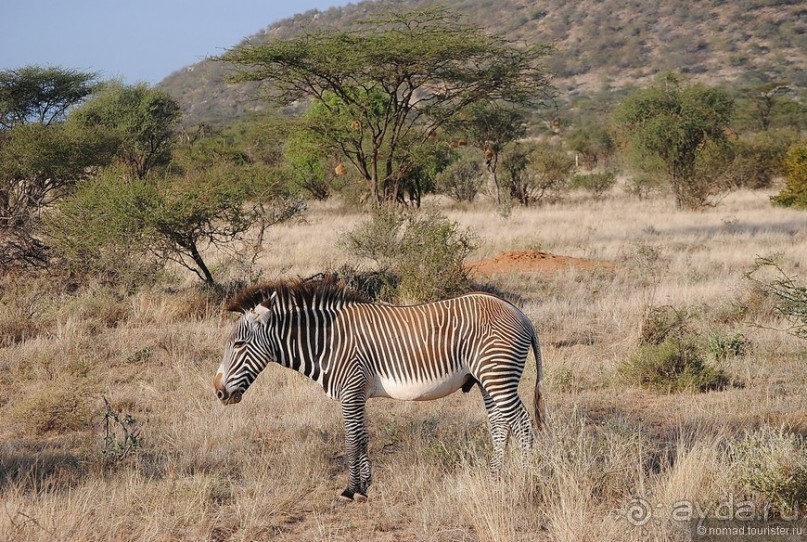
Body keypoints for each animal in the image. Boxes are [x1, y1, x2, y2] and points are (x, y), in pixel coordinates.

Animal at [213, 278, 544, 504]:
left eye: (239, 344)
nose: (218, 392)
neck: (327, 342)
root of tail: (520, 314)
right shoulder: (358, 393)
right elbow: (363, 437)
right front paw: (365, 486)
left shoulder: (351, 390)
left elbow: (351, 439)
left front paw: (351, 490)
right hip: (488, 379)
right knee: (500, 424)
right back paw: (496, 476)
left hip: (498, 375)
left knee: (522, 424)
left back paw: (527, 479)